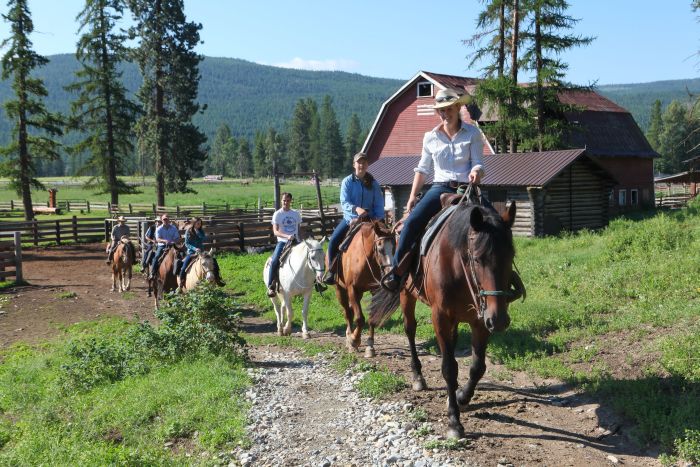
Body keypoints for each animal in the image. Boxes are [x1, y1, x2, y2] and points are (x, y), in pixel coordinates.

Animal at [334, 219, 396, 358]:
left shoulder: (374, 290)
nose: (391, 280)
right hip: (340, 290)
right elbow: (359, 318)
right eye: (380, 248)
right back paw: (349, 338)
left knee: (350, 310)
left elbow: (372, 317)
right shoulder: (352, 289)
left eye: (395, 248)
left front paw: (370, 347)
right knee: (347, 312)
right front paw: (354, 340)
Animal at [372, 200, 520, 438]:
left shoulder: (481, 320)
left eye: (511, 256)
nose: (499, 320)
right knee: (410, 330)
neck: (457, 264)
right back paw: (418, 376)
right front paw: (454, 421)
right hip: (406, 294)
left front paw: (461, 397)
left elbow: (477, 367)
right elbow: (449, 368)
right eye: (477, 259)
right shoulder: (440, 317)